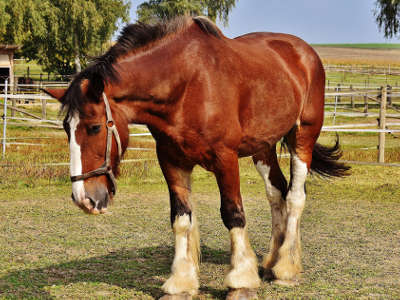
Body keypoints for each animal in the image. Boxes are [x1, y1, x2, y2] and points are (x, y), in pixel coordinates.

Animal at [45, 16, 348, 300]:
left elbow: (233, 214)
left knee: (295, 197)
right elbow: (181, 218)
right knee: (276, 192)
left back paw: (286, 268)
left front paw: (240, 281)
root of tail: (304, 52)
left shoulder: (225, 159)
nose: (84, 198)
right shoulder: (172, 160)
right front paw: (180, 282)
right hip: (263, 147)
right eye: (67, 128)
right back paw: (271, 262)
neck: (186, 85)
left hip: (302, 137)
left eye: (94, 127)